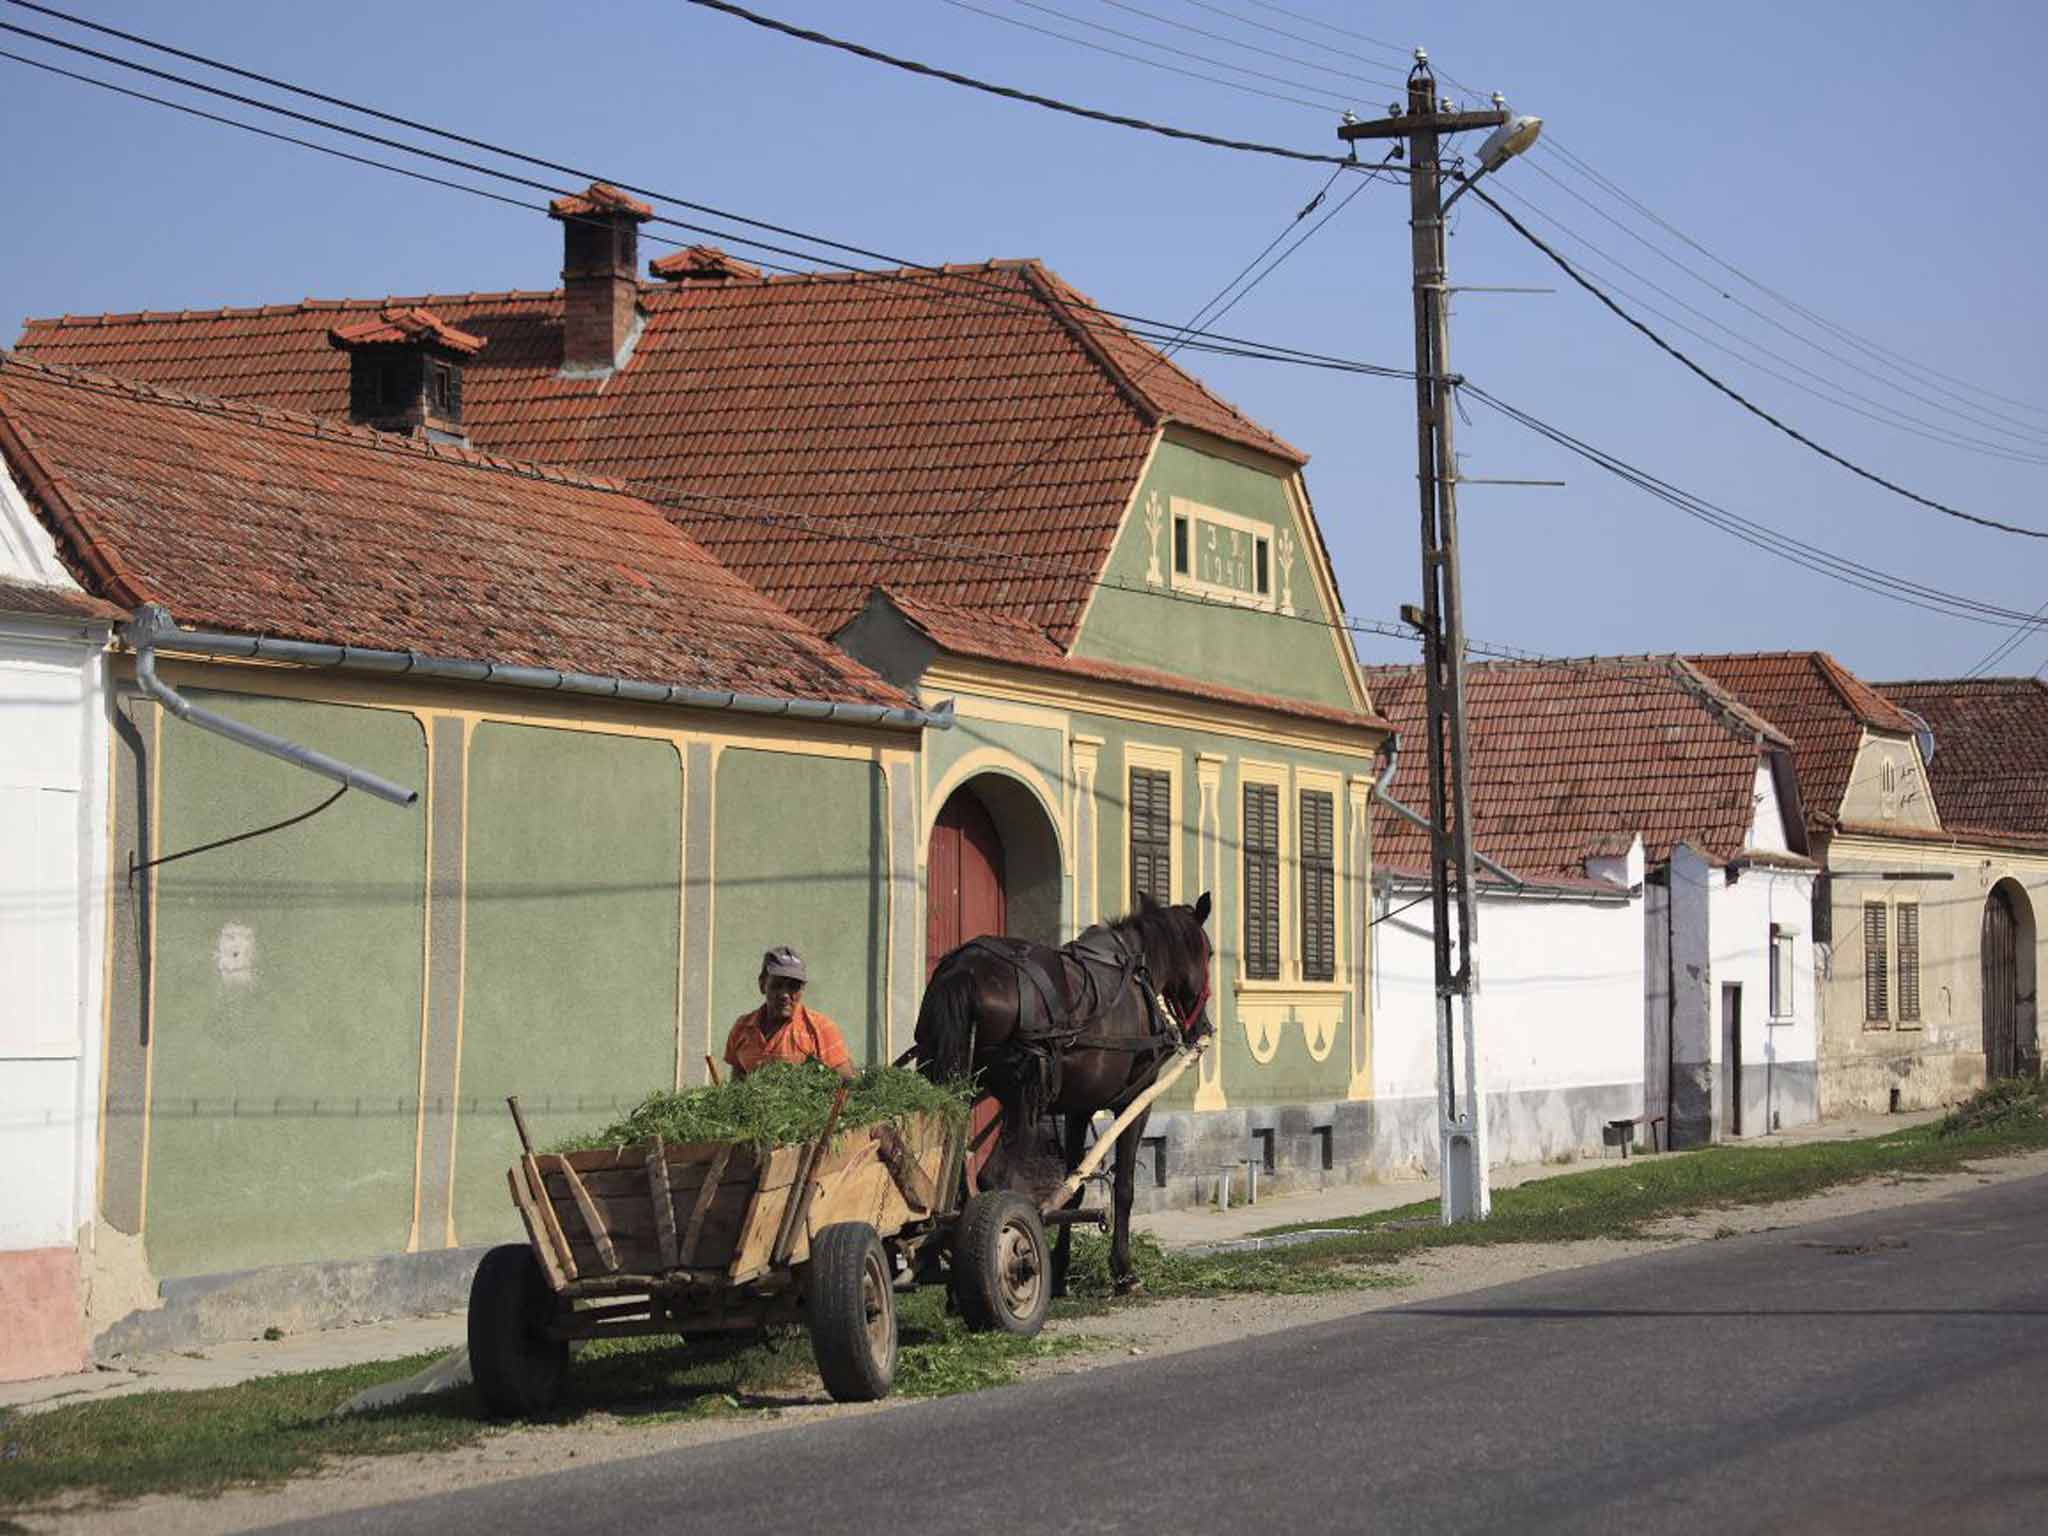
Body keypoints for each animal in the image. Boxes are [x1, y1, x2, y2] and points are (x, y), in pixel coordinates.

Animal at [917, 888, 1212, 1302]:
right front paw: (1123, 1271)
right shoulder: (1134, 1102)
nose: (1202, 1026)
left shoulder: (1077, 1108)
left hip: (951, 1085)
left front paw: (1060, 1272)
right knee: (993, 1179)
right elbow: (1124, 1188)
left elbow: (1074, 1192)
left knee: (951, 1176)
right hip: (1022, 1100)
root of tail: (964, 972)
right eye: (1209, 953)